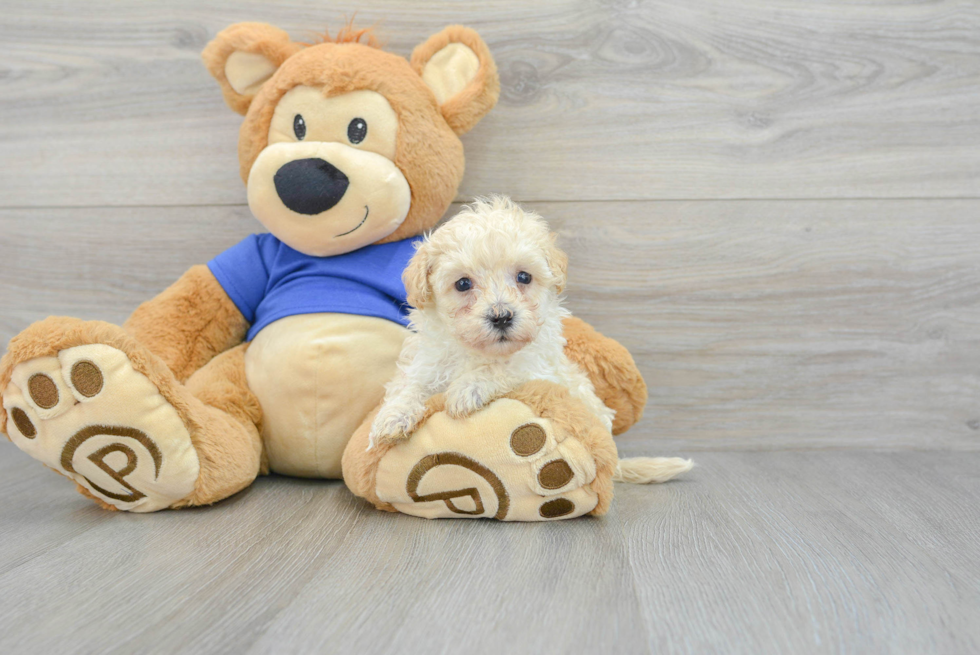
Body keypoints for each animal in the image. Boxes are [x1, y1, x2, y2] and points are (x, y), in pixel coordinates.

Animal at [368, 196, 612, 452]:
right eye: (463, 283)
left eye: (524, 277)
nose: (501, 317)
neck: (478, 353)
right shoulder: (427, 363)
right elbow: (412, 384)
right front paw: (394, 415)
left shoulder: (541, 369)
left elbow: (505, 368)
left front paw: (467, 388)